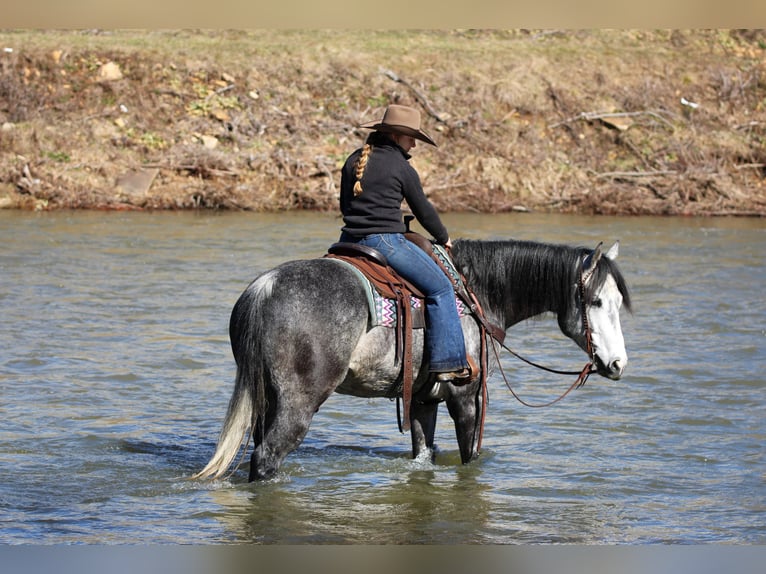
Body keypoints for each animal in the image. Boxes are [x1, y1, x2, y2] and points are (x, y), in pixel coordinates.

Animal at [194, 237, 631, 481]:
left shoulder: (423, 399)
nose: (618, 365)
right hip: (299, 404)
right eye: (596, 301)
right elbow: (469, 456)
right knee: (267, 457)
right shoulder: (465, 397)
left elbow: (424, 453)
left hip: (267, 398)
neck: (475, 290)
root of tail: (266, 288)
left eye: (618, 303)